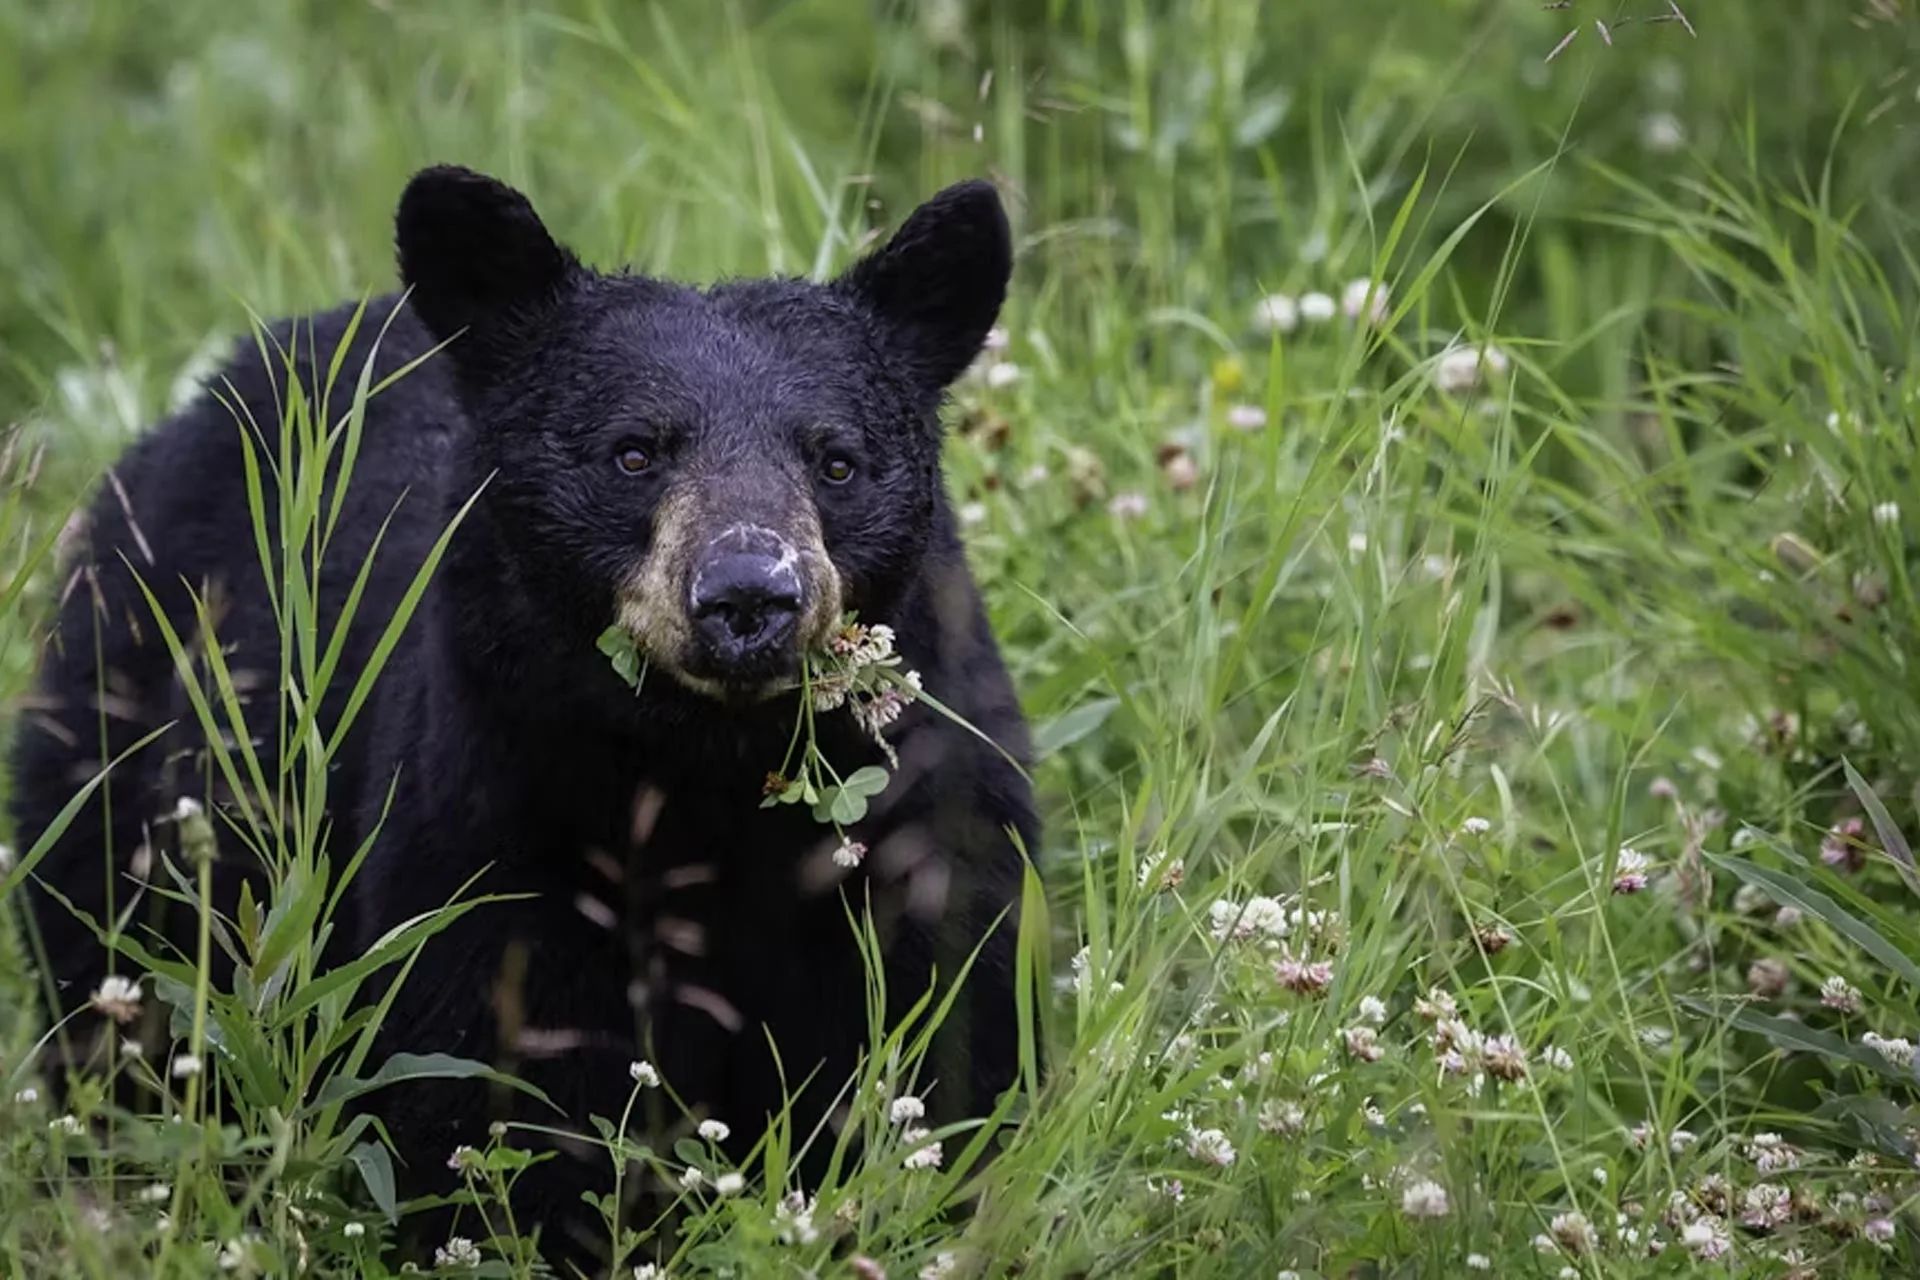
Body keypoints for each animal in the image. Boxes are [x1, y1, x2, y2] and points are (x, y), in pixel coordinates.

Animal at [6, 164, 1040, 1273]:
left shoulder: (925, 812)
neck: (707, 771)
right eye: (634, 453)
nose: (748, 595)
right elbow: (498, 1075)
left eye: (836, 461)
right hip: (121, 747)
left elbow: (949, 1031)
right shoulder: (492, 814)